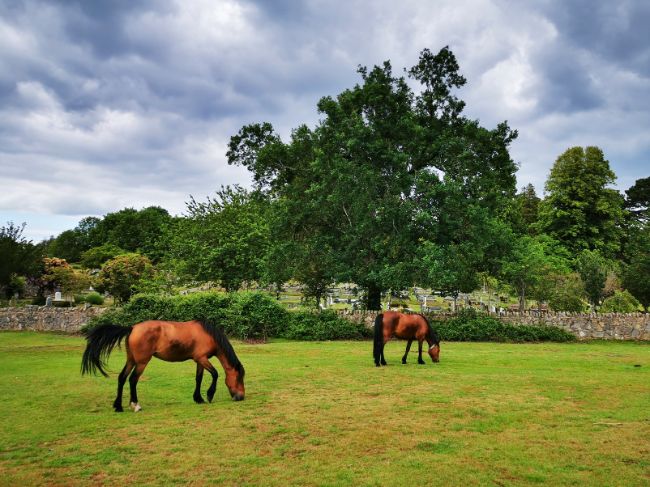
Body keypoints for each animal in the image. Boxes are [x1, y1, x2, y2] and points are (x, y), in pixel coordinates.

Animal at [81, 319, 245, 412]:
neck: (208, 335)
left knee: (122, 378)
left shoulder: (199, 360)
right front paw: (210, 395)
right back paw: (136, 405)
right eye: (239, 378)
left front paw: (198, 398)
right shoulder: (202, 358)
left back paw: (119, 406)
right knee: (133, 380)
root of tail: (132, 328)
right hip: (142, 362)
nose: (241, 397)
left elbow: (198, 379)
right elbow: (215, 374)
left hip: (131, 360)